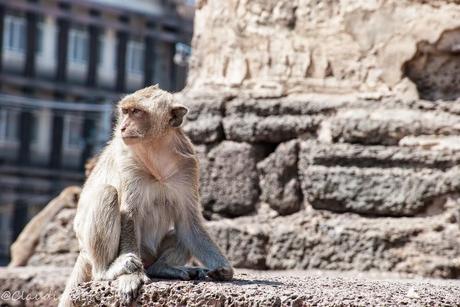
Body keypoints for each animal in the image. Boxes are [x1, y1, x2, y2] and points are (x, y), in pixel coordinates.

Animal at [59, 85, 234, 307]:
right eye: (125, 112)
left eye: (137, 112)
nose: (123, 127)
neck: (156, 153)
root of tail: (83, 253)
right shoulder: (127, 161)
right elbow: (129, 215)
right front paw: (131, 277)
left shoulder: (189, 167)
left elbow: (189, 223)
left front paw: (223, 269)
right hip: (98, 251)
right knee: (108, 193)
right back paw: (107, 270)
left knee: (179, 231)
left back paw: (163, 268)